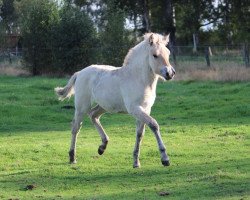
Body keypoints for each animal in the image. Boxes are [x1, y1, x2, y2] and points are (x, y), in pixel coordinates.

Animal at [54, 32, 176, 167]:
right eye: (155, 55)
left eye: (168, 53)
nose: (170, 73)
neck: (138, 79)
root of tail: (80, 73)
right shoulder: (135, 109)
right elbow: (154, 125)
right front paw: (165, 159)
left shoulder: (145, 109)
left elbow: (140, 133)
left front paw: (136, 162)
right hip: (82, 107)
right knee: (76, 128)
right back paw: (72, 157)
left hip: (103, 106)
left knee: (93, 115)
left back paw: (102, 147)